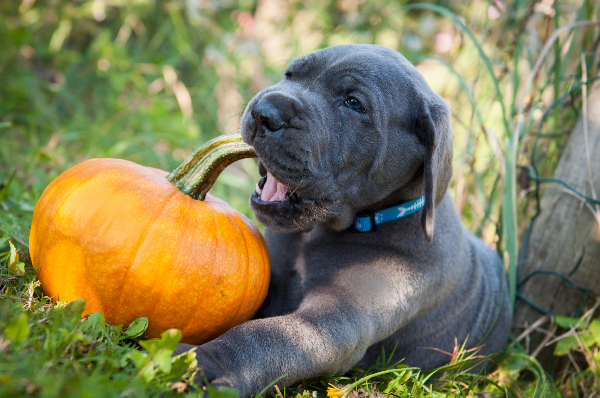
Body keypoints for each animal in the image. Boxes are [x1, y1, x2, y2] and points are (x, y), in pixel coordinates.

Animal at [175, 45, 510, 396]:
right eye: (290, 75)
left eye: (354, 103)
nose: (264, 112)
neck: (317, 234)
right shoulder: (267, 279)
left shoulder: (335, 319)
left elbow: (263, 337)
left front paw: (200, 364)